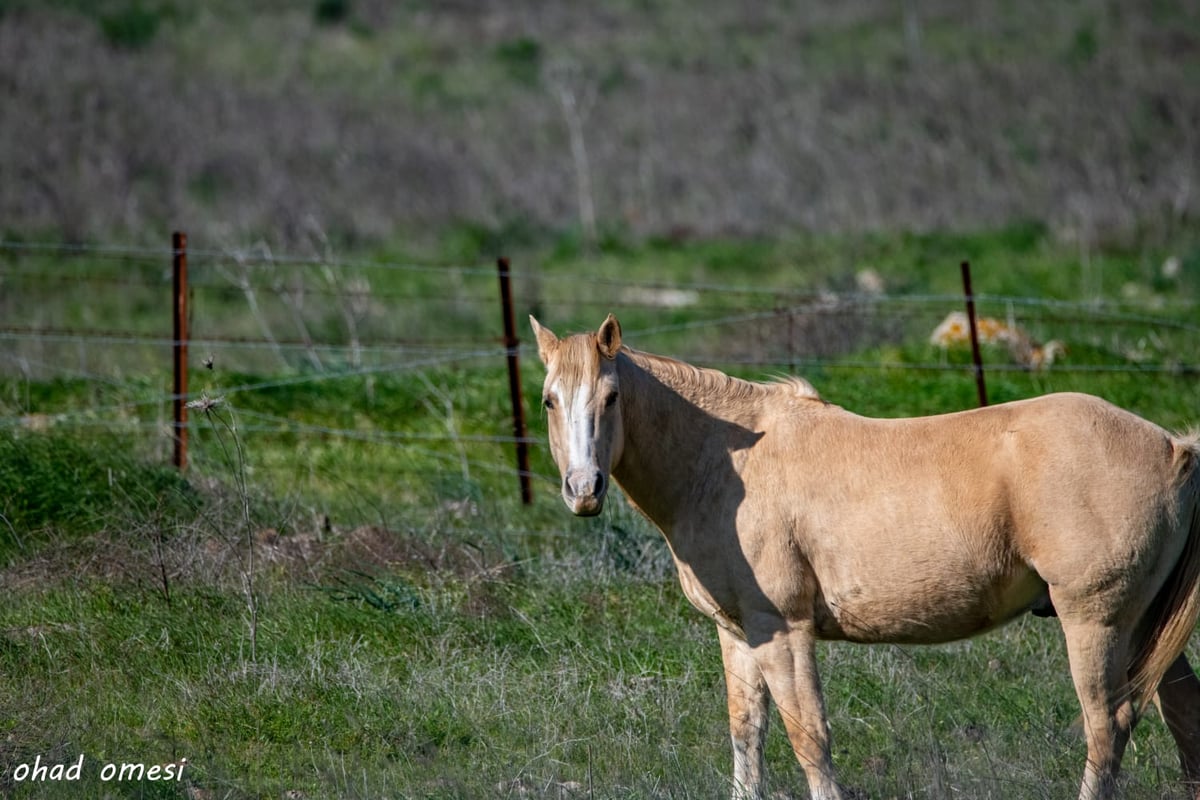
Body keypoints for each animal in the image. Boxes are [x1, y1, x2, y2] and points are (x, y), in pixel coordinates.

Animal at [532, 311, 1200, 800]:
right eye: (548, 400)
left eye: (611, 396)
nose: (584, 489)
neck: (725, 465)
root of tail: (1173, 448)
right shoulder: (739, 633)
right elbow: (747, 738)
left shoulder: (783, 631)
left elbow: (809, 738)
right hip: (1144, 627)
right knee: (1181, 716)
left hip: (1096, 624)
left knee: (1107, 729)